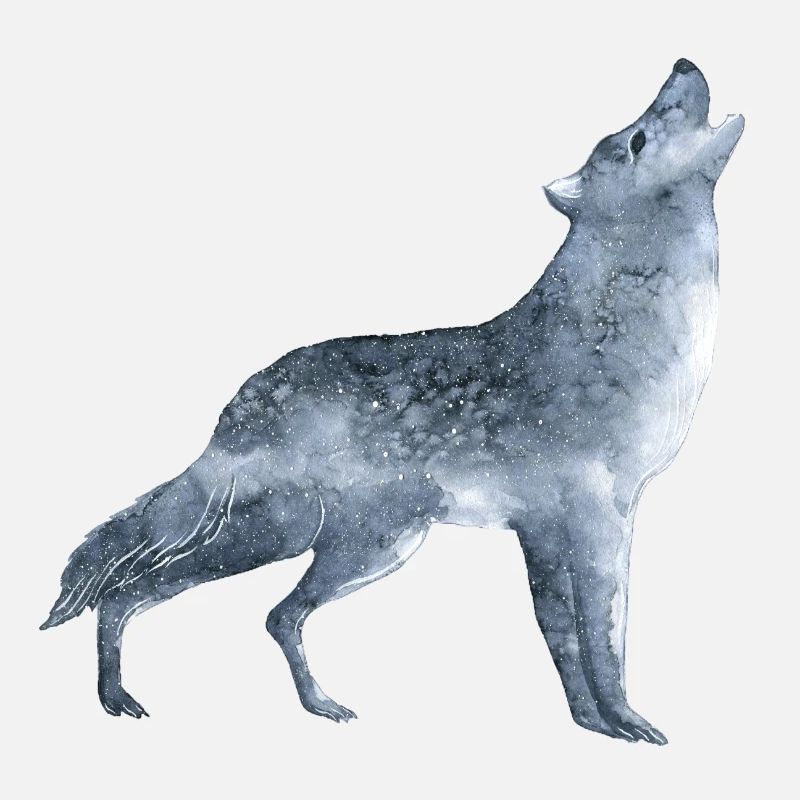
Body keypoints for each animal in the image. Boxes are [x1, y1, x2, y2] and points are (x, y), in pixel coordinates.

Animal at [41, 59, 742, 743]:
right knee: (133, 592)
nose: (683, 61)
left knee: (269, 614)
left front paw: (590, 724)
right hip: (289, 536)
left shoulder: (544, 527)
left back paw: (316, 706)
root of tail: (235, 408)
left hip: (371, 546)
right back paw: (116, 697)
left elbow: (562, 639)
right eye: (636, 139)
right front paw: (626, 722)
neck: (621, 330)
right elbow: (603, 640)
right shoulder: (598, 516)